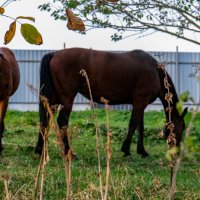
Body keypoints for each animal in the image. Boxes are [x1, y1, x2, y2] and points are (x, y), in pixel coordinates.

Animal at [34, 47, 188, 157]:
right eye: (181, 127)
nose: (178, 152)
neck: (154, 70)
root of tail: (54, 54)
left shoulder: (140, 102)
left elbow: (140, 126)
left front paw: (142, 151)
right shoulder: (140, 101)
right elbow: (133, 124)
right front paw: (126, 149)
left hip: (53, 99)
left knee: (45, 120)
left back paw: (40, 150)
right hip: (67, 98)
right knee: (62, 122)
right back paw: (68, 152)